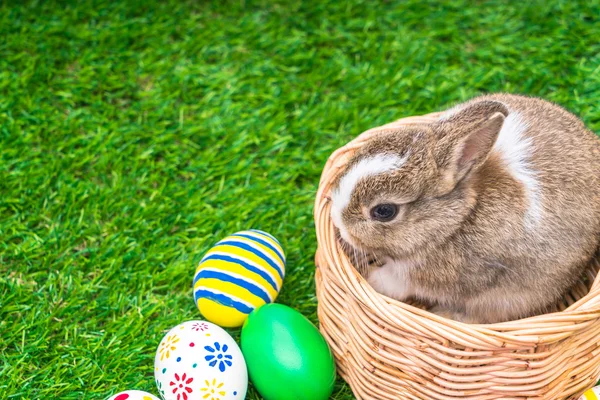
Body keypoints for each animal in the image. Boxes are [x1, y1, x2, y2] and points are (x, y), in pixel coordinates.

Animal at [328, 92, 600, 324]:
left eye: (384, 211)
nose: (338, 224)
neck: (456, 221)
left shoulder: (426, 277)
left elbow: (396, 282)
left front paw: (371, 279)